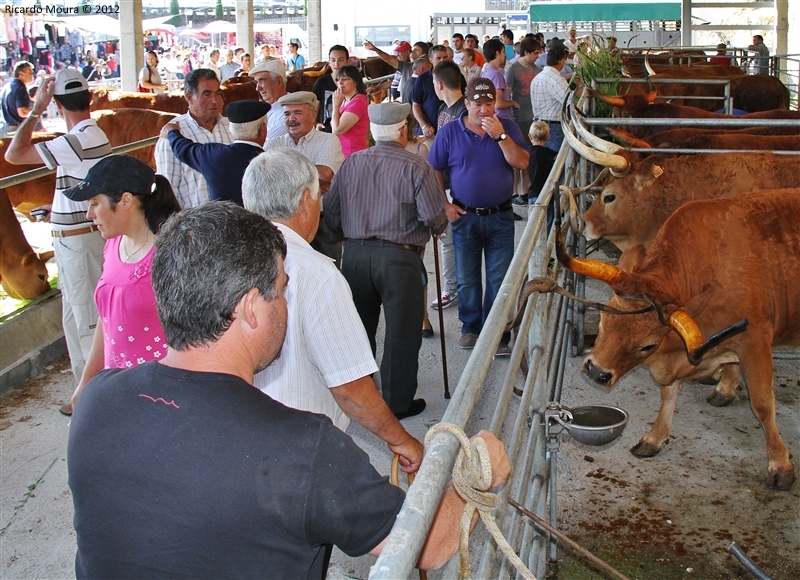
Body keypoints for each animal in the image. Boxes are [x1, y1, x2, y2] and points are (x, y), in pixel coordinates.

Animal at [556, 189, 800, 490]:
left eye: (647, 346)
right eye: (603, 320)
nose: (595, 371)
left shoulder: (755, 343)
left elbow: (763, 405)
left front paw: (780, 464)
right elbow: (668, 394)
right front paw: (654, 438)